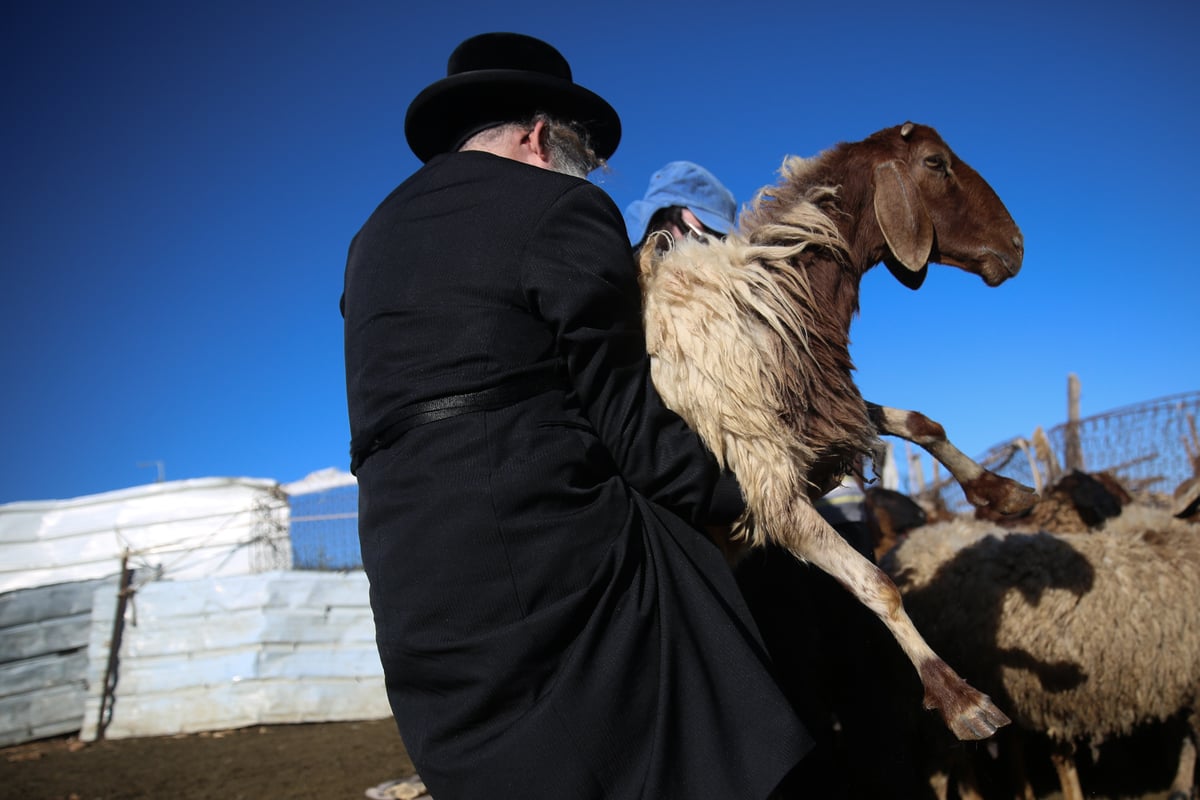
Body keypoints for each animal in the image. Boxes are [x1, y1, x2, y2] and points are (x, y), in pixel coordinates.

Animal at [643, 122, 1027, 743]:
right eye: (935, 162)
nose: (1016, 246)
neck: (770, 297)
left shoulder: (825, 414)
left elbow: (918, 421)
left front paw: (1001, 490)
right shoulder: (767, 484)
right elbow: (877, 584)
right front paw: (958, 698)